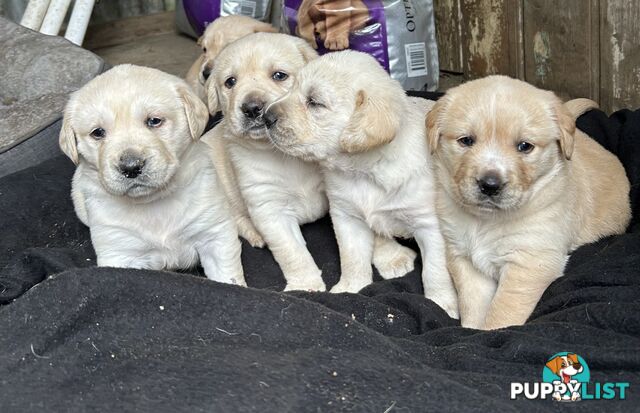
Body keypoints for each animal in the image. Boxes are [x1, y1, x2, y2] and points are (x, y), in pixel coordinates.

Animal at [60, 64, 245, 284]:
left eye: (154, 121)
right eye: (97, 132)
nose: (131, 167)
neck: (152, 202)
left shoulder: (214, 233)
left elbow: (227, 276)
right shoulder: (119, 250)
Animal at [202, 36, 418, 292]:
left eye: (279, 75)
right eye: (230, 82)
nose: (253, 108)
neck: (285, 157)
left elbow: (372, 228)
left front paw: (392, 257)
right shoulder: (269, 207)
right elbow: (292, 252)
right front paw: (305, 284)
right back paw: (256, 234)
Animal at [262, 50, 458, 318]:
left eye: (314, 102)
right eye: (291, 88)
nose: (265, 117)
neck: (365, 170)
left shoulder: (431, 226)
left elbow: (435, 271)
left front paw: (441, 304)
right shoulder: (347, 218)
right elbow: (352, 258)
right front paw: (351, 289)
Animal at [424, 75, 632, 330]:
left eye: (525, 146)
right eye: (466, 141)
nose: (490, 185)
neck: (487, 220)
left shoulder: (530, 262)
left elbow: (502, 311)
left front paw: (491, 331)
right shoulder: (463, 257)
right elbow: (473, 304)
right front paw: (471, 330)